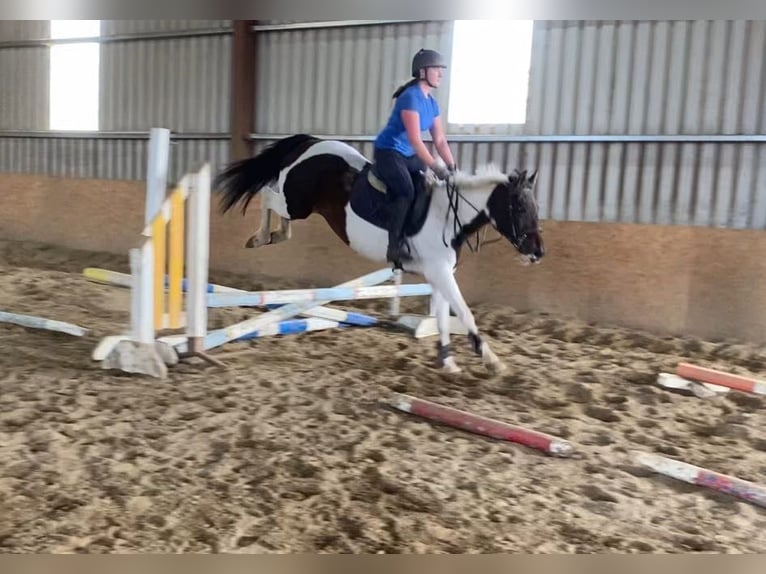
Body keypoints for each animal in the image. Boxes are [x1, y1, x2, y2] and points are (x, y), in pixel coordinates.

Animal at [213, 136, 544, 378]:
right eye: (520, 207)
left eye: (536, 207)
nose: (538, 252)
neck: (448, 215)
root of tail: (312, 141)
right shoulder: (439, 272)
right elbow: (464, 313)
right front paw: (492, 360)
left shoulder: (438, 274)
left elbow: (441, 317)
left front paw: (447, 362)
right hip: (296, 201)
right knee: (268, 195)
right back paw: (260, 237)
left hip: (297, 203)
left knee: (276, 205)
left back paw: (277, 234)